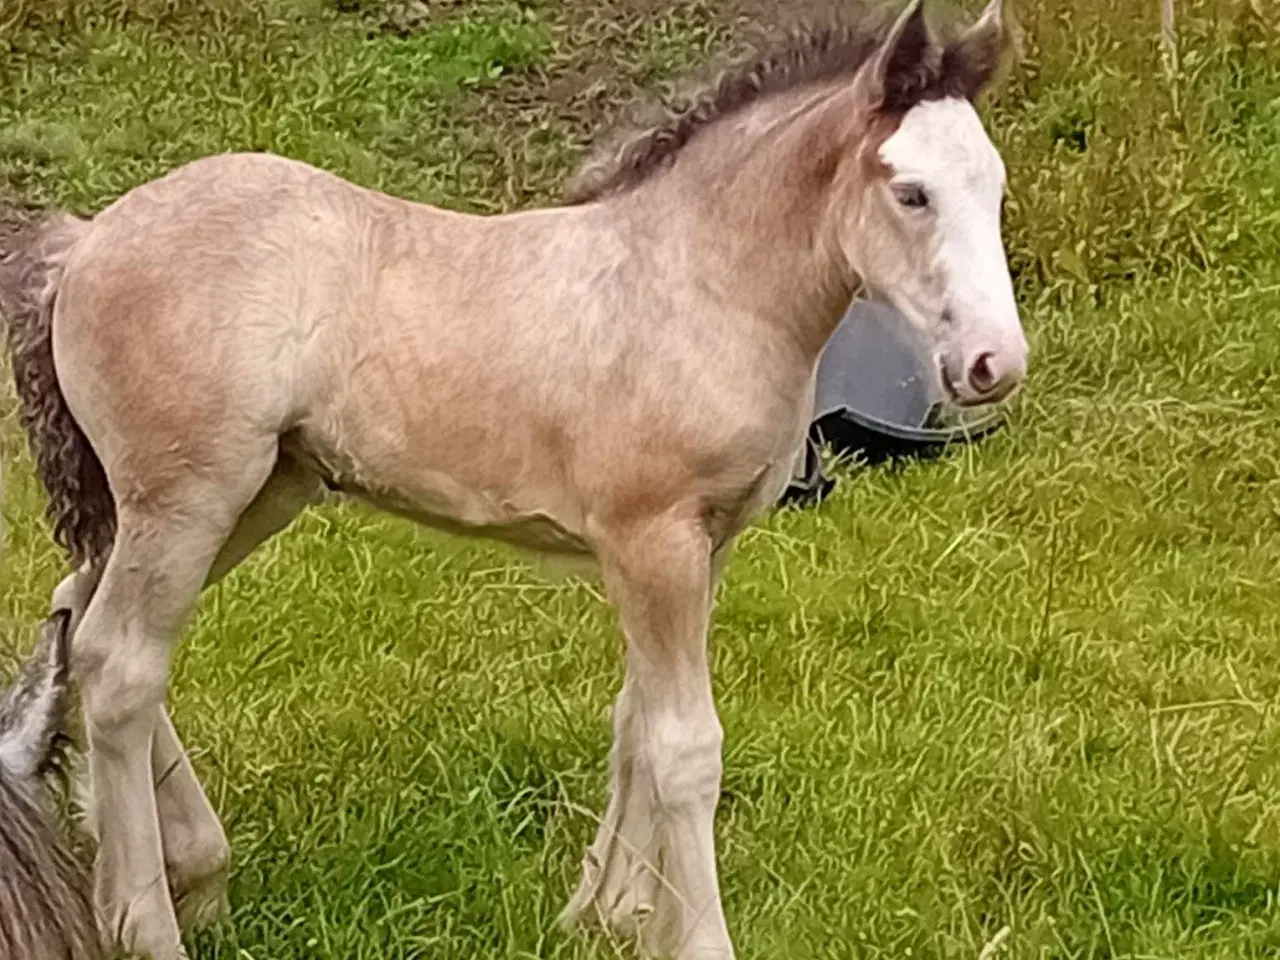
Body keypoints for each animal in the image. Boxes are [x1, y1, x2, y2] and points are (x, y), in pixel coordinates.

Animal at [0, 3, 1024, 957]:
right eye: (911, 192)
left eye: (995, 187)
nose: (994, 364)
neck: (696, 285)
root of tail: (83, 243)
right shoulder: (653, 539)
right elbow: (685, 747)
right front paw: (689, 934)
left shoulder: (701, 545)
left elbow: (634, 721)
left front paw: (608, 914)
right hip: (190, 499)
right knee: (123, 664)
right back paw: (150, 923)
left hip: (247, 495)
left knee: (81, 618)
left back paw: (177, 880)